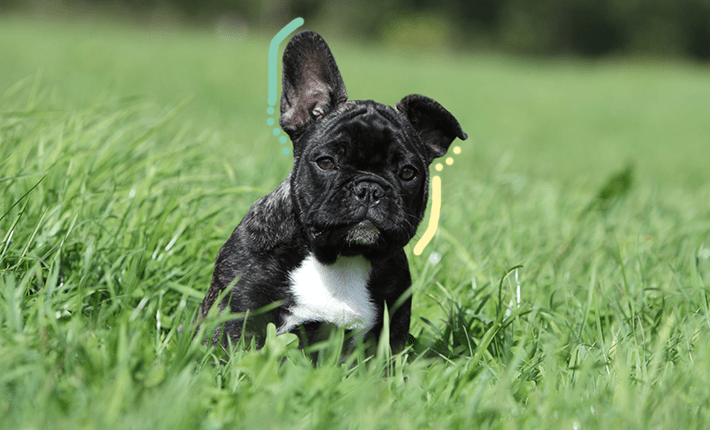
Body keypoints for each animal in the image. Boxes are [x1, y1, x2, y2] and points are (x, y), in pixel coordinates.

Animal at [199, 30, 468, 352]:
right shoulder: (236, 307)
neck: (340, 258)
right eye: (326, 162)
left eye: (408, 173)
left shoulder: (388, 331)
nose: (369, 187)